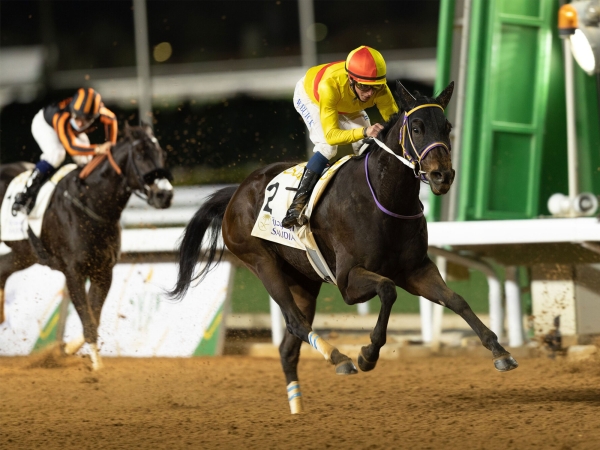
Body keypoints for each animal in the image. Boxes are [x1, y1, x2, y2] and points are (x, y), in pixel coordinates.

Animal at [0, 123, 173, 370]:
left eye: (162, 154)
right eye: (140, 155)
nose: (165, 194)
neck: (91, 202)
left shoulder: (103, 271)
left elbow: (93, 317)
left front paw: (66, 349)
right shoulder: (74, 272)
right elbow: (88, 318)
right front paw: (97, 368)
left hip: (24, 254)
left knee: (3, 270)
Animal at [171, 81, 516, 414]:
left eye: (447, 126)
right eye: (417, 127)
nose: (442, 175)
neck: (385, 197)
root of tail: (236, 192)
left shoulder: (416, 270)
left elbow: (456, 300)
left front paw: (499, 351)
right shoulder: (349, 281)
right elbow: (388, 290)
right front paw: (367, 354)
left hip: (303, 280)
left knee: (287, 347)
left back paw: (298, 407)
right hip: (260, 262)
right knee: (295, 322)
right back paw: (341, 359)